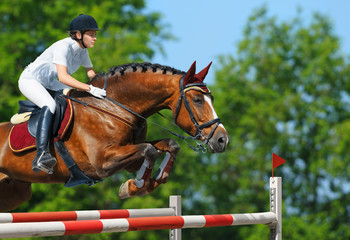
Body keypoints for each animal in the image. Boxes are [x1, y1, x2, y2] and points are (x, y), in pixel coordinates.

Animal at [0, 61, 230, 211]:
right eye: (198, 100)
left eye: (211, 98)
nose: (222, 140)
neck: (113, 107)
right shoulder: (102, 163)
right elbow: (150, 150)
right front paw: (135, 186)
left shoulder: (128, 157)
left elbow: (167, 145)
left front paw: (145, 183)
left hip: (15, 193)